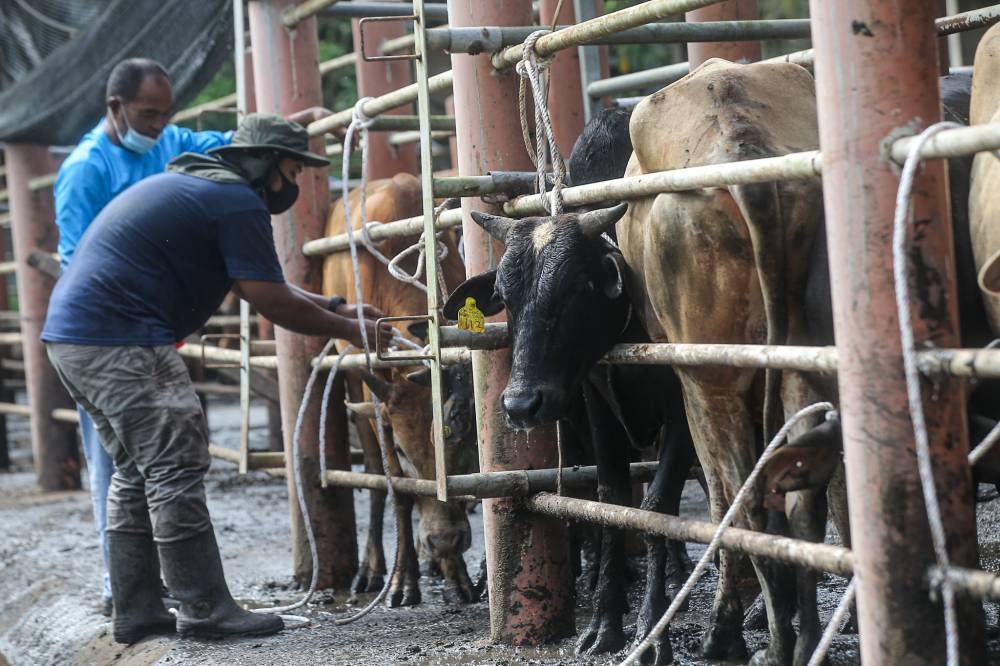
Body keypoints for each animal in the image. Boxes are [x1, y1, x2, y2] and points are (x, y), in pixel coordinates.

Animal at [320, 174, 476, 604]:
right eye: (404, 451)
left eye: (462, 443)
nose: (444, 540)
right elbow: (400, 493)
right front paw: (404, 581)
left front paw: (456, 575)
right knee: (376, 480)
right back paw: (374, 569)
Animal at [616, 59, 828, 660]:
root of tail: (740, 142)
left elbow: (715, 497)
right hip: (800, 357)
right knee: (801, 498)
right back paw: (800, 641)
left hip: (709, 376)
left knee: (743, 500)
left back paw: (747, 637)